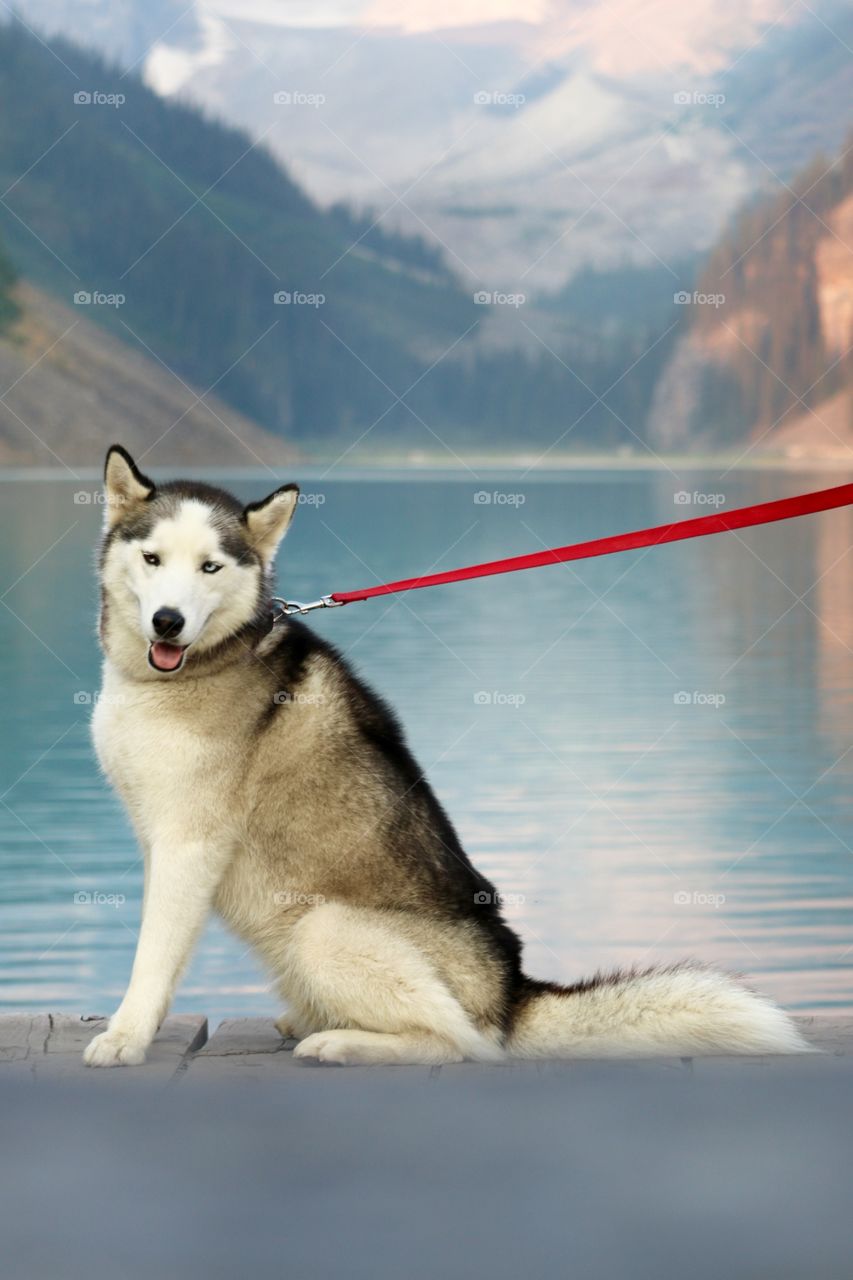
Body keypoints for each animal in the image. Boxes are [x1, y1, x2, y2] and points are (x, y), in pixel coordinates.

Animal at [83, 445, 809, 1064]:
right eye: (152, 559)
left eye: (210, 567)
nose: (168, 622)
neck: (182, 674)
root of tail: (512, 992)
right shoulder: (156, 838)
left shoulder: (188, 843)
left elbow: (152, 956)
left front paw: (125, 1037)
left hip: (322, 927)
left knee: (463, 1043)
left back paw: (343, 1043)